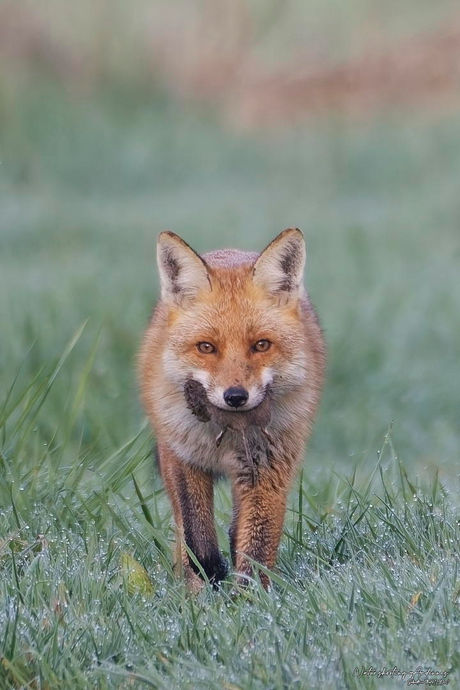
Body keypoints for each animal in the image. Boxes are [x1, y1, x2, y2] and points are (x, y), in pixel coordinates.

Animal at [139, 228, 325, 591]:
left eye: (261, 345)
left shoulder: (267, 469)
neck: (225, 435)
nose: (235, 396)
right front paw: (209, 570)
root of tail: (231, 252)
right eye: (206, 347)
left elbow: (256, 544)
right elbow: (195, 530)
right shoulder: (181, 456)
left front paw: (251, 599)